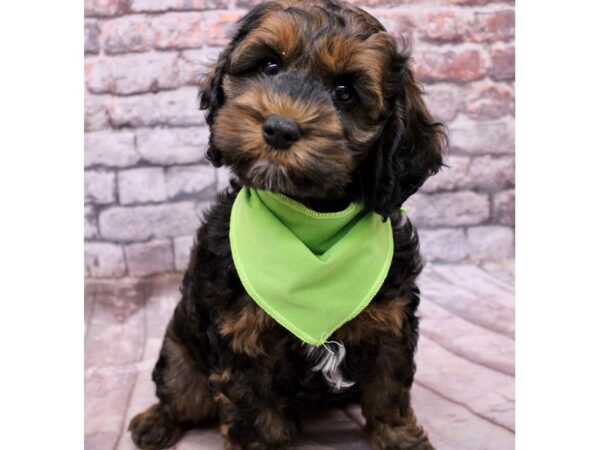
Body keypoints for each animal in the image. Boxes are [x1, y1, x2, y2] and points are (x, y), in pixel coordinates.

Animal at [129, 0, 446, 450]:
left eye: (345, 92)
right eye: (269, 65)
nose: (279, 128)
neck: (310, 216)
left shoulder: (392, 324)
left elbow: (389, 392)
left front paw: (400, 438)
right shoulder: (242, 340)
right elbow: (253, 416)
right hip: (180, 353)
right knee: (182, 394)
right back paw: (155, 422)